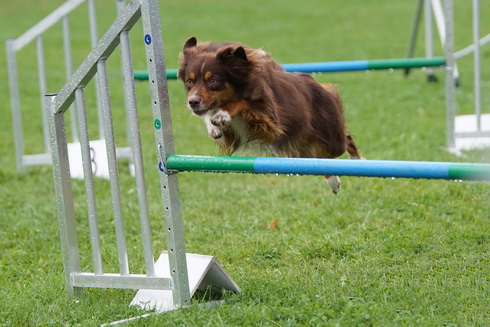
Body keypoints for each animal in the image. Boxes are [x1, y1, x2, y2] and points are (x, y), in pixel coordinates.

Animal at [178, 36, 362, 195]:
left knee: (345, 140)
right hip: (301, 148)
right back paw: (334, 181)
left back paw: (357, 163)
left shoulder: (269, 116)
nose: (192, 102)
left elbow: (241, 103)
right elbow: (210, 117)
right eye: (189, 81)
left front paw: (222, 115)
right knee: (320, 162)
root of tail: (318, 86)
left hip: (329, 137)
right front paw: (213, 126)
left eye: (213, 81)